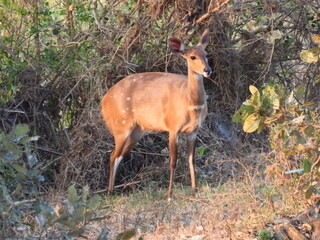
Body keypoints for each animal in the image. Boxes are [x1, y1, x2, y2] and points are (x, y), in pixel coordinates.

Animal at [102, 29, 212, 199]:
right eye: (192, 57)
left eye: (206, 54)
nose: (207, 70)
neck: (191, 104)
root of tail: (103, 101)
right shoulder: (173, 128)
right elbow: (173, 161)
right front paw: (169, 196)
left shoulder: (193, 131)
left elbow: (191, 160)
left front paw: (195, 191)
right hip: (121, 127)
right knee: (113, 155)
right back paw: (108, 193)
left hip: (137, 131)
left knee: (119, 155)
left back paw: (112, 191)